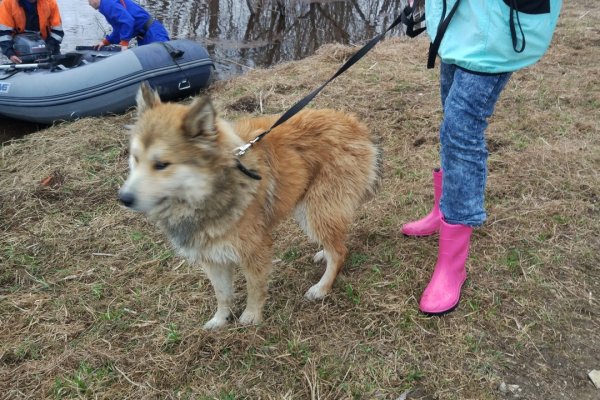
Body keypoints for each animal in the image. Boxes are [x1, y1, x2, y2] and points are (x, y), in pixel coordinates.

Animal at [119, 83, 382, 330]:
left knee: (339, 252)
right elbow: (222, 294)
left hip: (316, 210)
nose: (124, 198)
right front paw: (220, 320)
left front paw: (251, 317)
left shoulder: (255, 251)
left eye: (162, 164)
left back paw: (322, 287)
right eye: (135, 158)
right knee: (334, 243)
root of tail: (354, 124)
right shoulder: (211, 258)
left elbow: (255, 289)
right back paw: (323, 253)